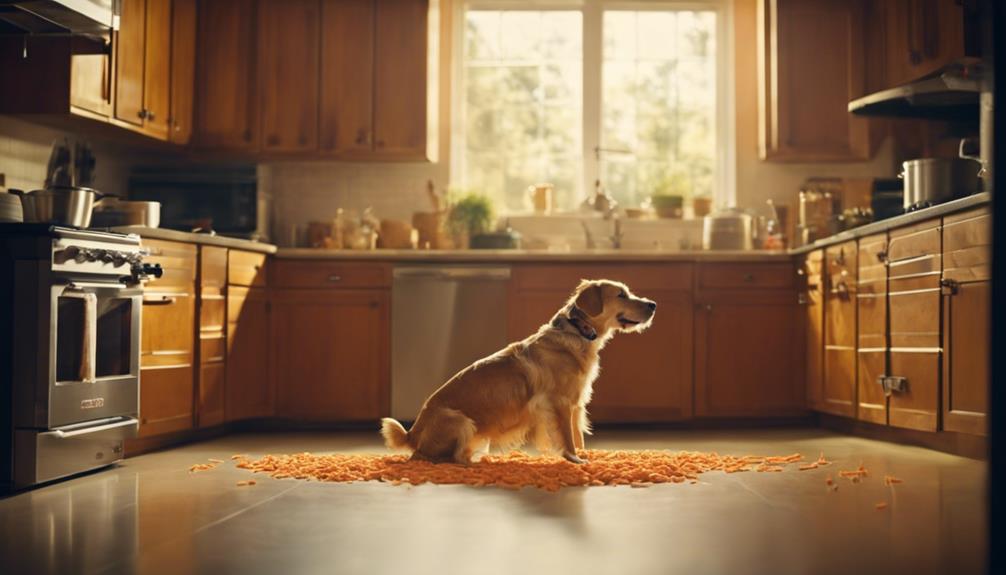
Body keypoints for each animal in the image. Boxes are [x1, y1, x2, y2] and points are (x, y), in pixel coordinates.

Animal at [380, 279, 655, 462]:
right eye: (621, 295)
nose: (653, 304)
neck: (578, 331)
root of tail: (413, 432)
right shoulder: (561, 404)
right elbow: (568, 437)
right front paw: (575, 460)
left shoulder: (577, 404)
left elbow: (579, 436)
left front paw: (587, 456)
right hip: (460, 422)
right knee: (432, 457)